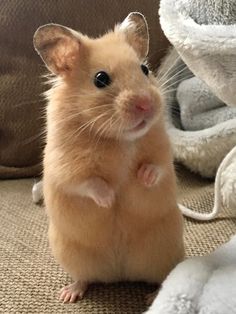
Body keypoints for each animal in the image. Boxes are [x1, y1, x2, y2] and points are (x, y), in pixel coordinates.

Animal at [33, 12, 184, 304]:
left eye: (144, 69)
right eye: (100, 79)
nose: (146, 104)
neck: (118, 138)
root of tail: (119, 274)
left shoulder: (163, 153)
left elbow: (157, 167)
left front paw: (142, 178)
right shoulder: (63, 166)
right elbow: (88, 183)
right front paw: (110, 199)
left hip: (166, 250)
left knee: (159, 278)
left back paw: (152, 296)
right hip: (71, 254)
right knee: (86, 278)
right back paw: (69, 294)